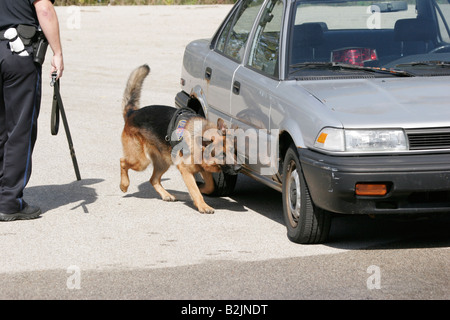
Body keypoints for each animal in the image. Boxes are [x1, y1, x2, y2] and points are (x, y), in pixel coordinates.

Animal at [119, 64, 239, 212]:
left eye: (233, 151)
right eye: (222, 155)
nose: (239, 168)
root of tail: (132, 113)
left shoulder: (202, 168)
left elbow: (210, 186)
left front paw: (202, 189)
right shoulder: (186, 171)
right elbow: (195, 190)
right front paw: (203, 205)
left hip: (164, 162)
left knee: (153, 179)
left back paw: (166, 195)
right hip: (141, 161)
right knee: (123, 161)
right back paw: (124, 185)